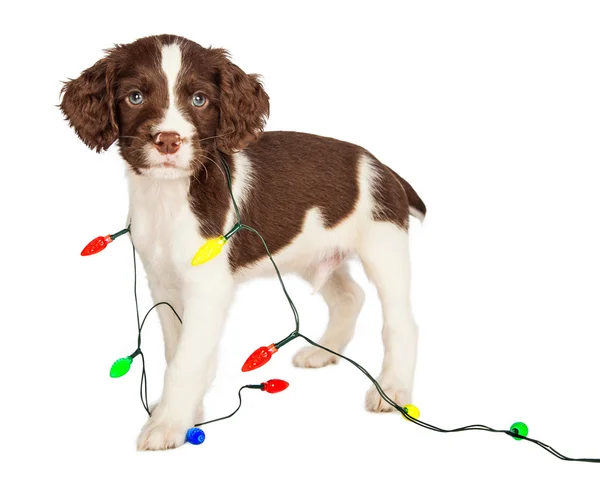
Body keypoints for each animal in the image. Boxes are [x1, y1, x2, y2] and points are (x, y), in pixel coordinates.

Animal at [59, 33, 426, 450]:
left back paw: (394, 389)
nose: (168, 141)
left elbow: (185, 359)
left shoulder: (207, 288)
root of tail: (383, 166)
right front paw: (189, 412)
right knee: (350, 296)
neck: (170, 197)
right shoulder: (163, 283)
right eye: (135, 97)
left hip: (384, 247)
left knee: (400, 322)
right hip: (312, 254)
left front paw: (167, 424)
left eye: (199, 99)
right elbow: (176, 349)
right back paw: (323, 353)